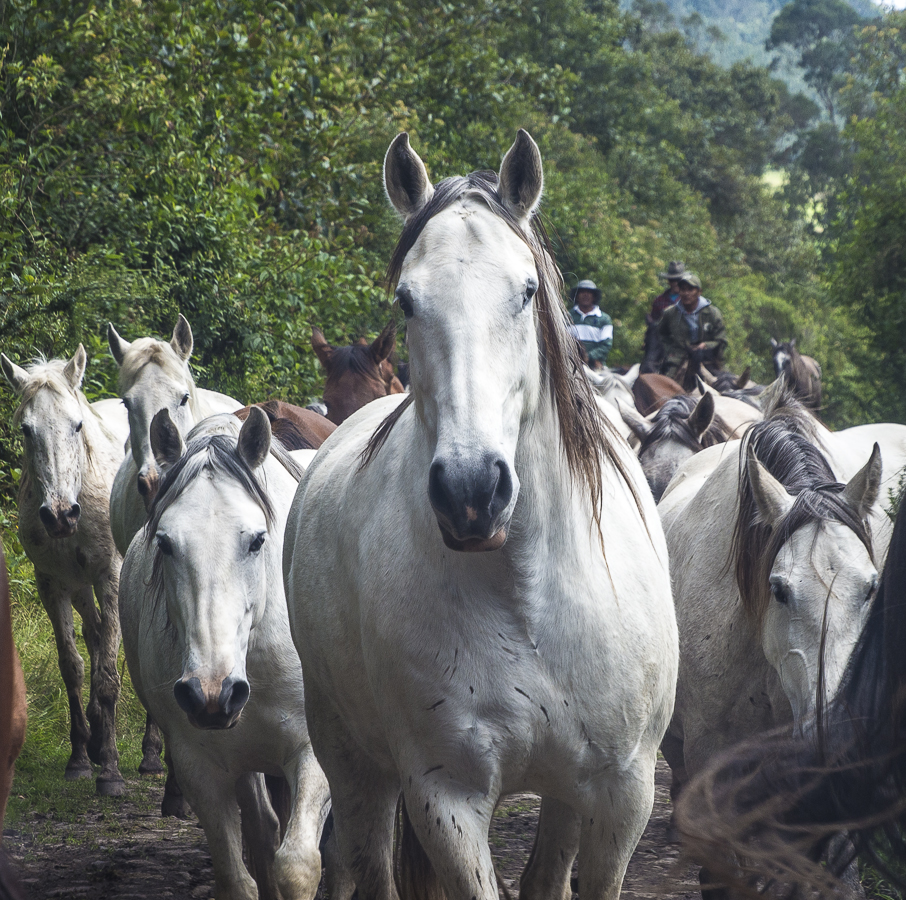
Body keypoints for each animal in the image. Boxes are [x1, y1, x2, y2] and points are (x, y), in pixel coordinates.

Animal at [0, 346, 136, 795]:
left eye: (77, 425)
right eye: (27, 431)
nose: (60, 515)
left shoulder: (111, 576)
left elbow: (109, 672)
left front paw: (110, 769)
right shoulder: (52, 583)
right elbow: (72, 667)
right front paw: (79, 757)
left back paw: (151, 754)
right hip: (79, 588)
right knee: (93, 634)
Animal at [119, 408, 345, 900]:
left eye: (257, 540)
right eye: (164, 543)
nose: (212, 693)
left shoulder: (314, 753)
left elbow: (300, 866)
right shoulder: (198, 765)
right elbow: (236, 876)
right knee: (262, 828)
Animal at [283, 130, 678, 900]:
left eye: (526, 292)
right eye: (406, 300)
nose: (472, 491)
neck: (526, 594)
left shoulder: (622, 793)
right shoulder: (448, 798)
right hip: (352, 761)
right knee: (368, 859)